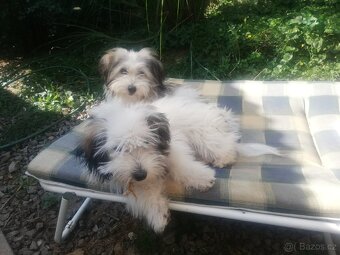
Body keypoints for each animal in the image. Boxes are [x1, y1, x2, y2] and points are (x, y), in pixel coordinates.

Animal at [75, 87, 278, 231]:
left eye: (147, 142)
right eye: (118, 149)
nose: (140, 174)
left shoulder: (173, 145)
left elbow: (180, 163)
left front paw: (201, 178)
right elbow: (143, 190)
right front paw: (156, 212)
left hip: (204, 132)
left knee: (225, 145)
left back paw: (224, 157)